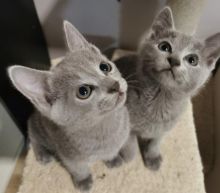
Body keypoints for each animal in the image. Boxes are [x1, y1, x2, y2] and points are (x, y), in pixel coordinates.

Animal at [7, 21, 135, 191]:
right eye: (83, 91)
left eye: (105, 67)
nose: (115, 85)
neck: (105, 125)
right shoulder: (70, 156)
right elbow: (78, 168)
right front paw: (83, 181)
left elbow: (113, 151)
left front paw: (112, 159)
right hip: (36, 127)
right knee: (33, 137)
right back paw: (42, 154)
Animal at [116, 7, 219, 170]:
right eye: (164, 47)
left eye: (192, 60)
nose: (174, 60)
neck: (160, 97)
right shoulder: (127, 124)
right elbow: (130, 144)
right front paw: (128, 157)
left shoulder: (165, 128)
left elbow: (155, 142)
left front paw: (152, 157)